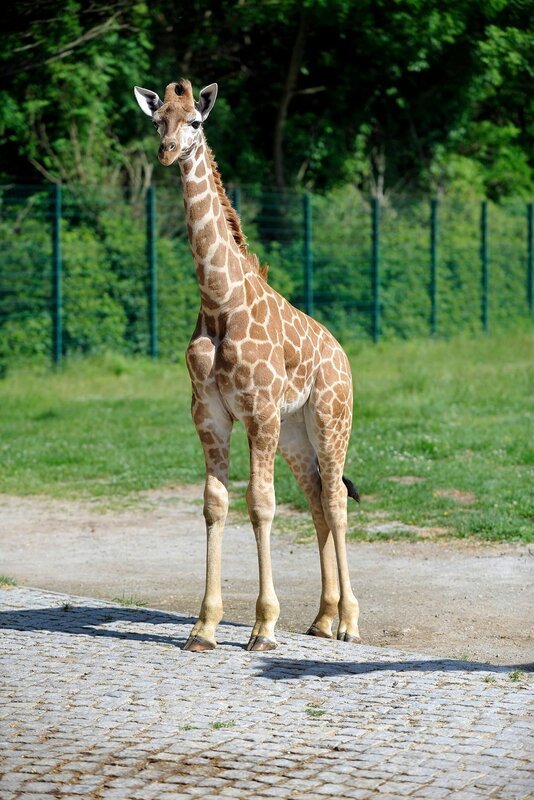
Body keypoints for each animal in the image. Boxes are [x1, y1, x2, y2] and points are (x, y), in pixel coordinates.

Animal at [134, 78, 361, 652]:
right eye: (157, 120)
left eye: (195, 121)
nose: (168, 151)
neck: (219, 302)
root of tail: (343, 356)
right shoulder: (209, 414)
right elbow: (215, 504)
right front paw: (204, 627)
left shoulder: (257, 411)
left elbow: (260, 504)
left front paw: (263, 627)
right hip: (296, 433)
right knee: (317, 502)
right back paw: (322, 618)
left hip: (330, 419)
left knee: (337, 500)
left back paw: (349, 621)